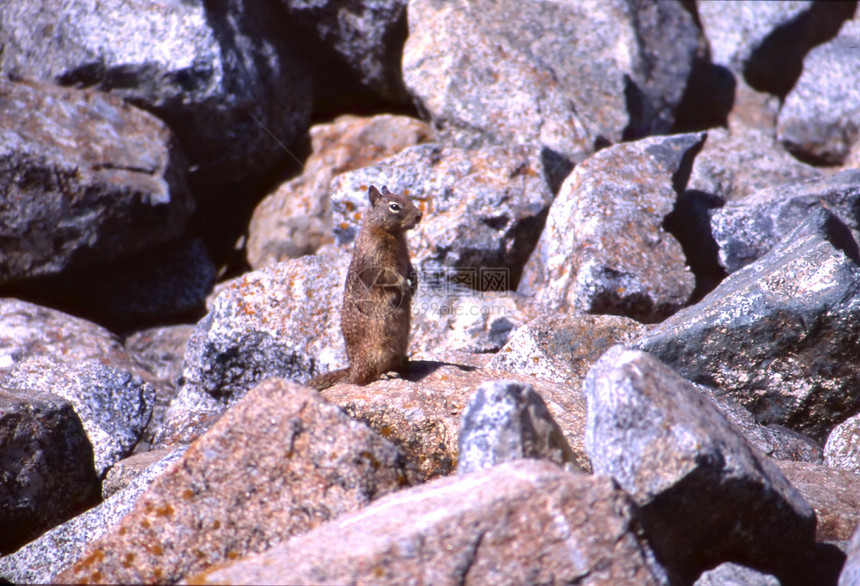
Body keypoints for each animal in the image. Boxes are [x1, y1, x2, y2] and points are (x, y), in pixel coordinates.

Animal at [310, 185, 424, 390]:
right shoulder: (378, 261)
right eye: (394, 206)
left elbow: (410, 269)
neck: (394, 235)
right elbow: (390, 276)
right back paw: (385, 374)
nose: (420, 215)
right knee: (362, 379)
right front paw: (404, 286)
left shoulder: (406, 255)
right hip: (377, 353)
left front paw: (415, 282)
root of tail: (351, 370)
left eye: (408, 198)